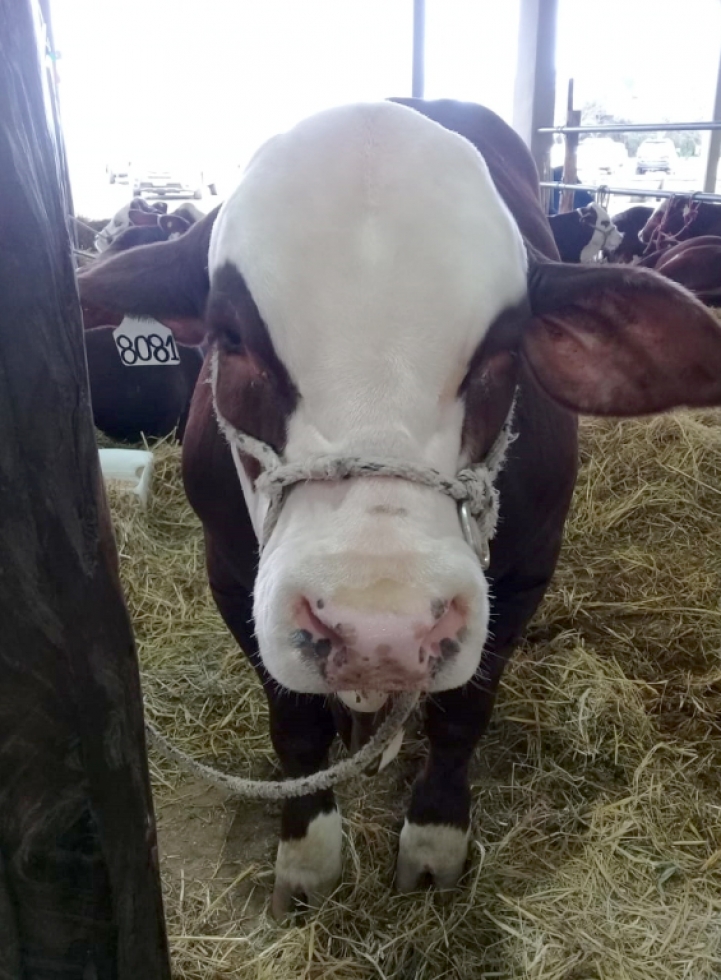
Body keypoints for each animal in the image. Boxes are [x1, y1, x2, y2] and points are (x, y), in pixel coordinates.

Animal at [74, 95, 721, 916]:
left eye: (503, 353)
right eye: (230, 338)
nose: (379, 628)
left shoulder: (525, 567)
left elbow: (462, 713)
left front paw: (434, 840)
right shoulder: (229, 567)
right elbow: (294, 726)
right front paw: (308, 854)